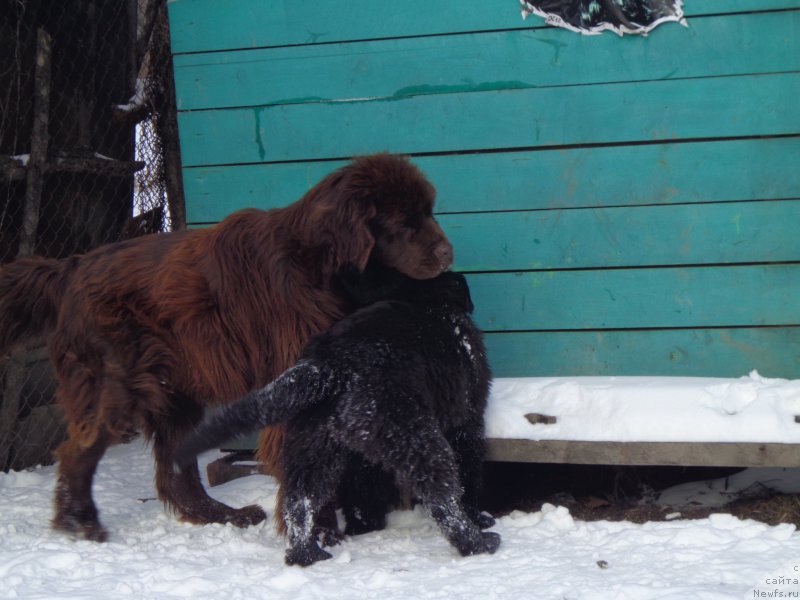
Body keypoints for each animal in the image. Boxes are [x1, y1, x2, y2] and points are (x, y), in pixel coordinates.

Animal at [0, 152, 450, 540]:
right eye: (404, 221)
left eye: (429, 211)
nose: (447, 253)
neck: (323, 267)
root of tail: (71, 267)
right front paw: (319, 531)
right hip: (117, 385)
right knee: (78, 449)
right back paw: (80, 522)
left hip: (173, 392)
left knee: (174, 475)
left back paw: (224, 516)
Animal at [178, 270, 496, 564]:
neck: (428, 300)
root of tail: (329, 366)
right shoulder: (468, 421)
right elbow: (470, 471)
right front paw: (478, 516)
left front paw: (365, 523)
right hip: (417, 439)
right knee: (442, 499)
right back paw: (477, 544)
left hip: (313, 448)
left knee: (298, 501)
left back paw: (305, 554)